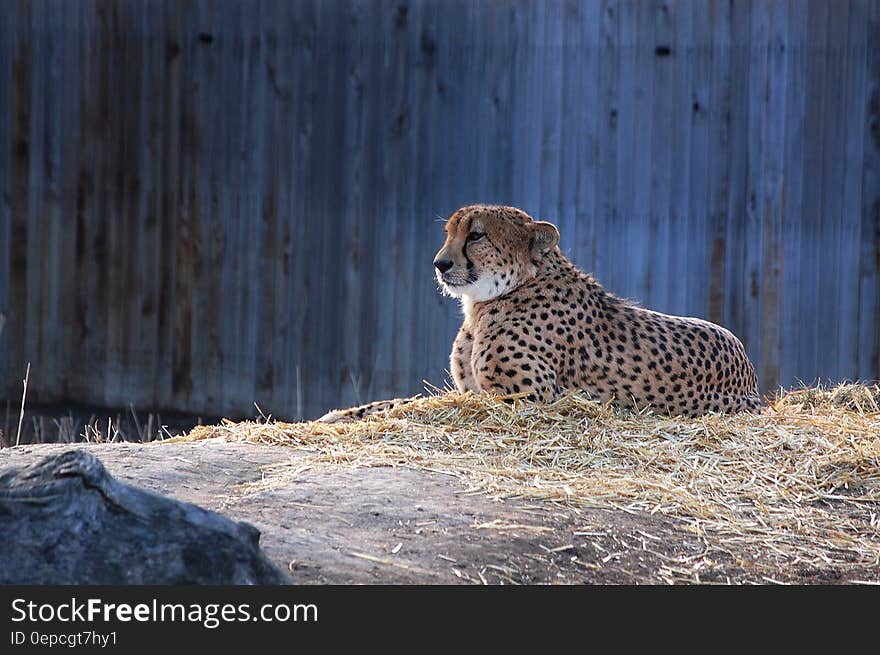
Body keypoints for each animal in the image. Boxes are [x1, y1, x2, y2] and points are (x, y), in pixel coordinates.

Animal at [318, 204, 764, 420]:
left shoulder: (526, 398)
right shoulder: (475, 391)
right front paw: (341, 414)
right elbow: (401, 399)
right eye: (449, 233)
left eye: (475, 235)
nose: (440, 264)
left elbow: (419, 406)